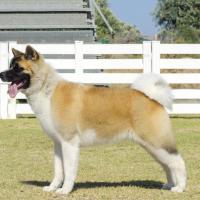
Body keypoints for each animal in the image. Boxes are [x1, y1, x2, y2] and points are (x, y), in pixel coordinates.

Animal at [0, 45, 188, 194]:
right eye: (10, 66)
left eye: (17, 68)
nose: (1, 74)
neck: (47, 89)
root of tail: (151, 97)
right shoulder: (58, 144)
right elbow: (58, 170)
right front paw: (53, 187)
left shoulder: (69, 143)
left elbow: (69, 171)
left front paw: (65, 191)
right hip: (152, 146)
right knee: (167, 164)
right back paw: (169, 185)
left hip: (157, 142)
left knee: (178, 161)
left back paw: (179, 188)